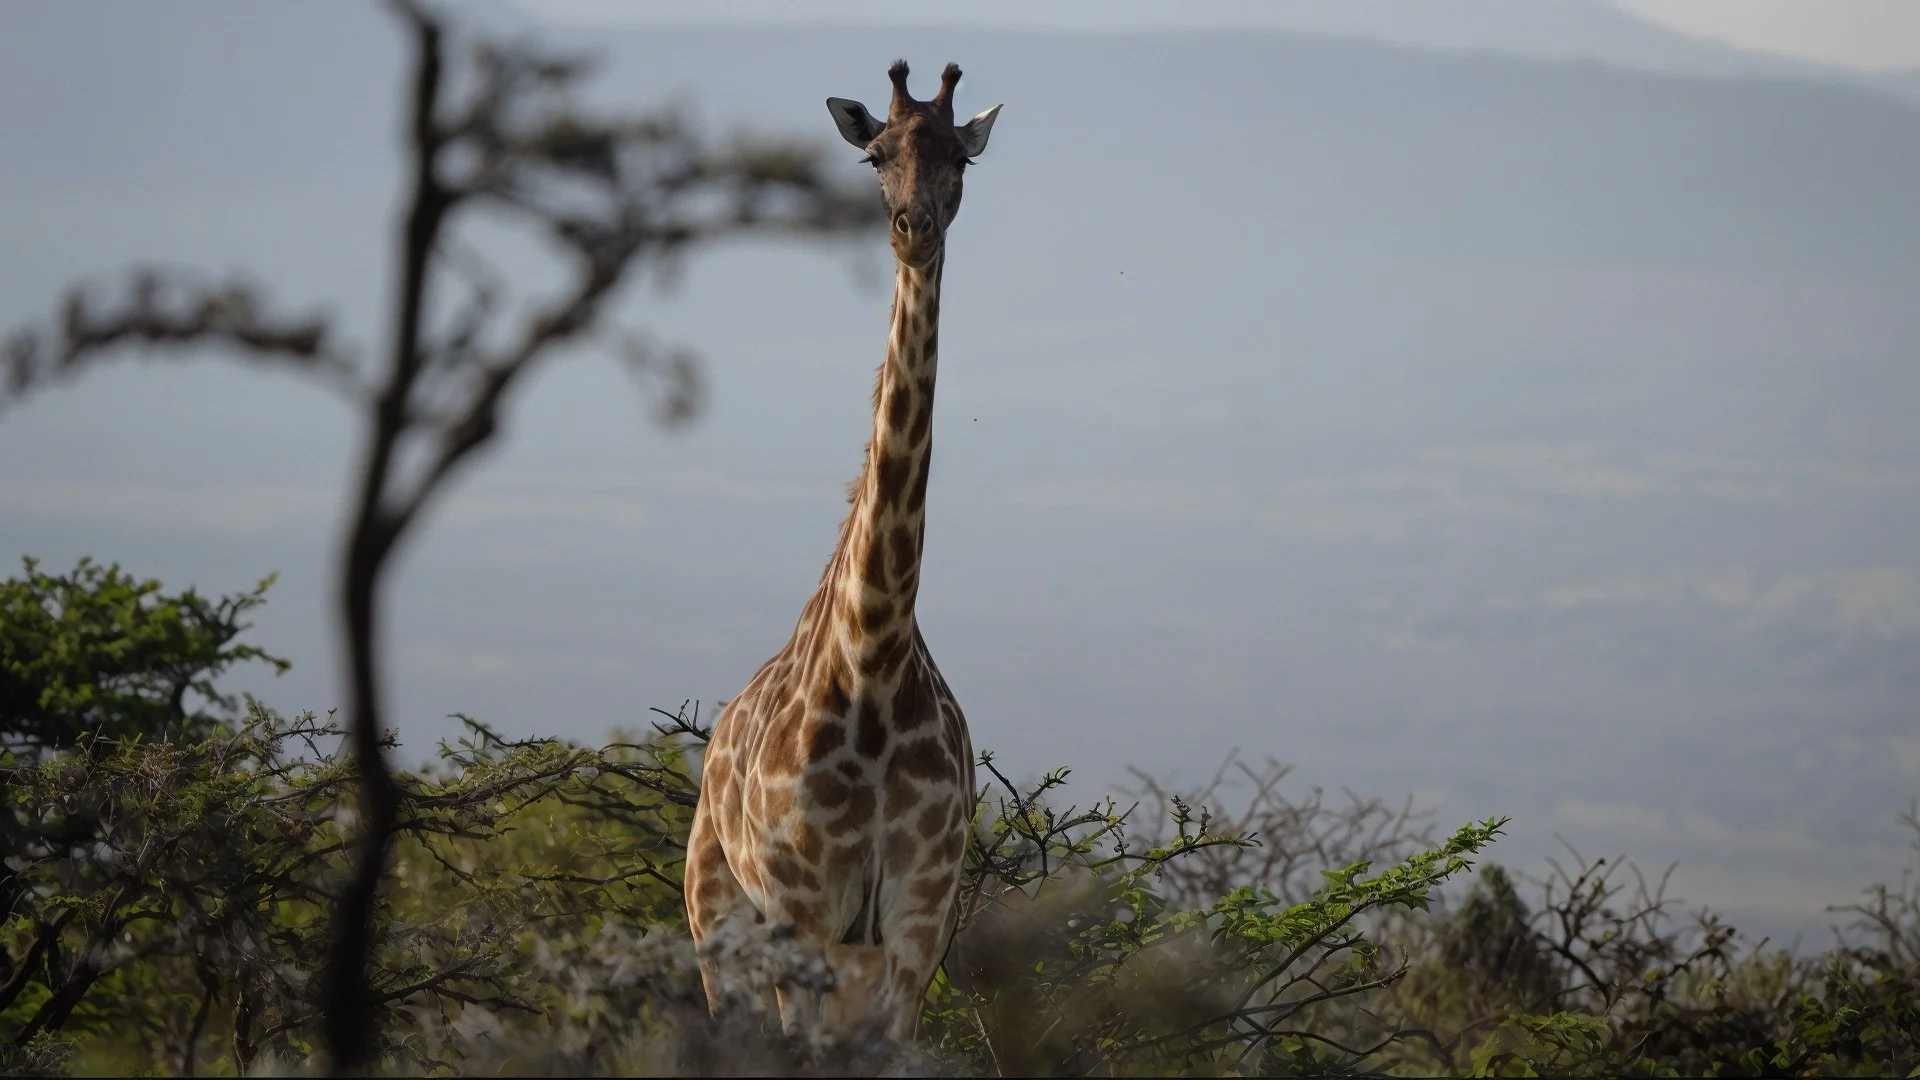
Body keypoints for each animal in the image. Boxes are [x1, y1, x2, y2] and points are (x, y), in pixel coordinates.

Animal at [683, 60, 1002, 1045]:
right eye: (876, 155)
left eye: (959, 159)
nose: (913, 228)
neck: (874, 659)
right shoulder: (802, 909)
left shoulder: (917, 919)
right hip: (716, 913)